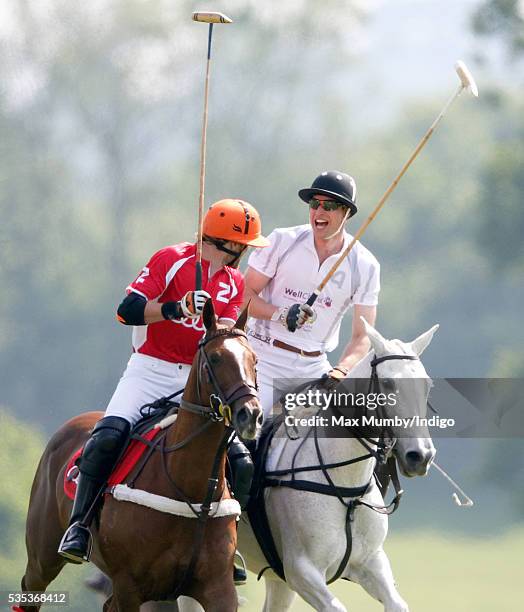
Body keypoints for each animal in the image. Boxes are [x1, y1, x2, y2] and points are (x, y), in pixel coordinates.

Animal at [16, 302, 262, 612]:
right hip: (43, 555)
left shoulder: (219, 588)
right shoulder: (129, 586)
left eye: (255, 360)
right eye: (216, 359)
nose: (251, 415)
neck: (189, 488)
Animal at [176, 320, 438, 612]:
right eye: (388, 383)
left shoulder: (371, 562)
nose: (421, 455)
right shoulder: (302, 571)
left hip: (277, 581)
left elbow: (397, 603)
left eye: (427, 385)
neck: (344, 484)